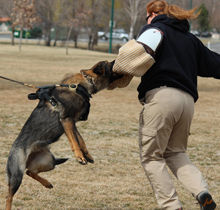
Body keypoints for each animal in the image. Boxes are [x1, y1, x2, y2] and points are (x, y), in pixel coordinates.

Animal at [5, 60, 121, 209]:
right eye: (110, 64)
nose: (117, 61)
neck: (83, 84)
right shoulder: (66, 120)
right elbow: (75, 141)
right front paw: (80, 157)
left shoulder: (72, 122)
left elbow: (80, 140)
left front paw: (87, 155)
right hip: (17, 174)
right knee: (9, 195)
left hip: (49, 162)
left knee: (30, 171)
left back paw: (47, 183)